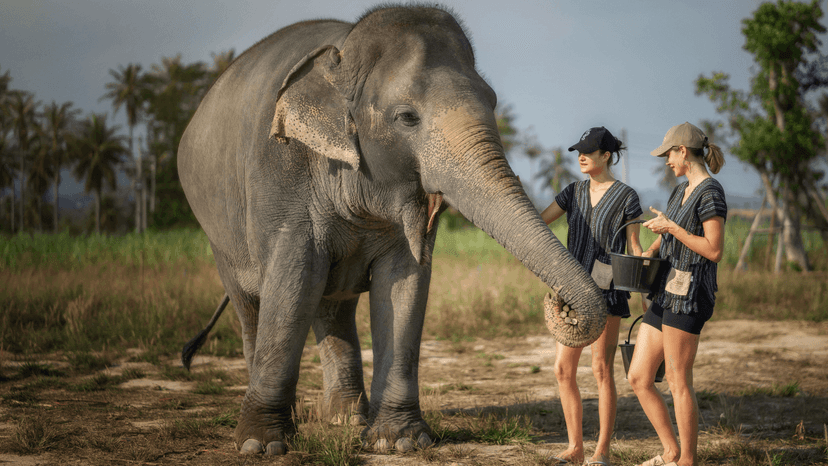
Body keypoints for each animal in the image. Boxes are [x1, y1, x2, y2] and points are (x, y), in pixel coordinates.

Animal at [177, 4, 605, 456]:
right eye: (406, 118)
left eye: (492, 101)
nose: (562, 303)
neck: (343, 53)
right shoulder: (280, 175)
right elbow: (293, 282)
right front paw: (262, 446)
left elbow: (405, 282)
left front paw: (400, 442)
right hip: (218, 234)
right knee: (254, 307)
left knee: (332, 304)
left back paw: (347, 419)